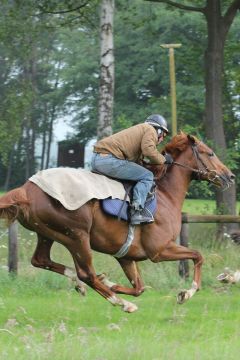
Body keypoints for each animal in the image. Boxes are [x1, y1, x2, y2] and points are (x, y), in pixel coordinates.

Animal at [0, 133, 234, 312]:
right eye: (210, 153)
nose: (230, 176)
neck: (165, 195)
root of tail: (26, 189)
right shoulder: (159, 250)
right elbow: (198, 255)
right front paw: (187, 293)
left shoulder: (127, 256)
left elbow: (139, 287)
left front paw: (111, 283)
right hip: (76, 236)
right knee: (86, 273)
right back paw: (123, 304)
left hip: (48, 233)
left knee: (41, 260)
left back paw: (85, 284)